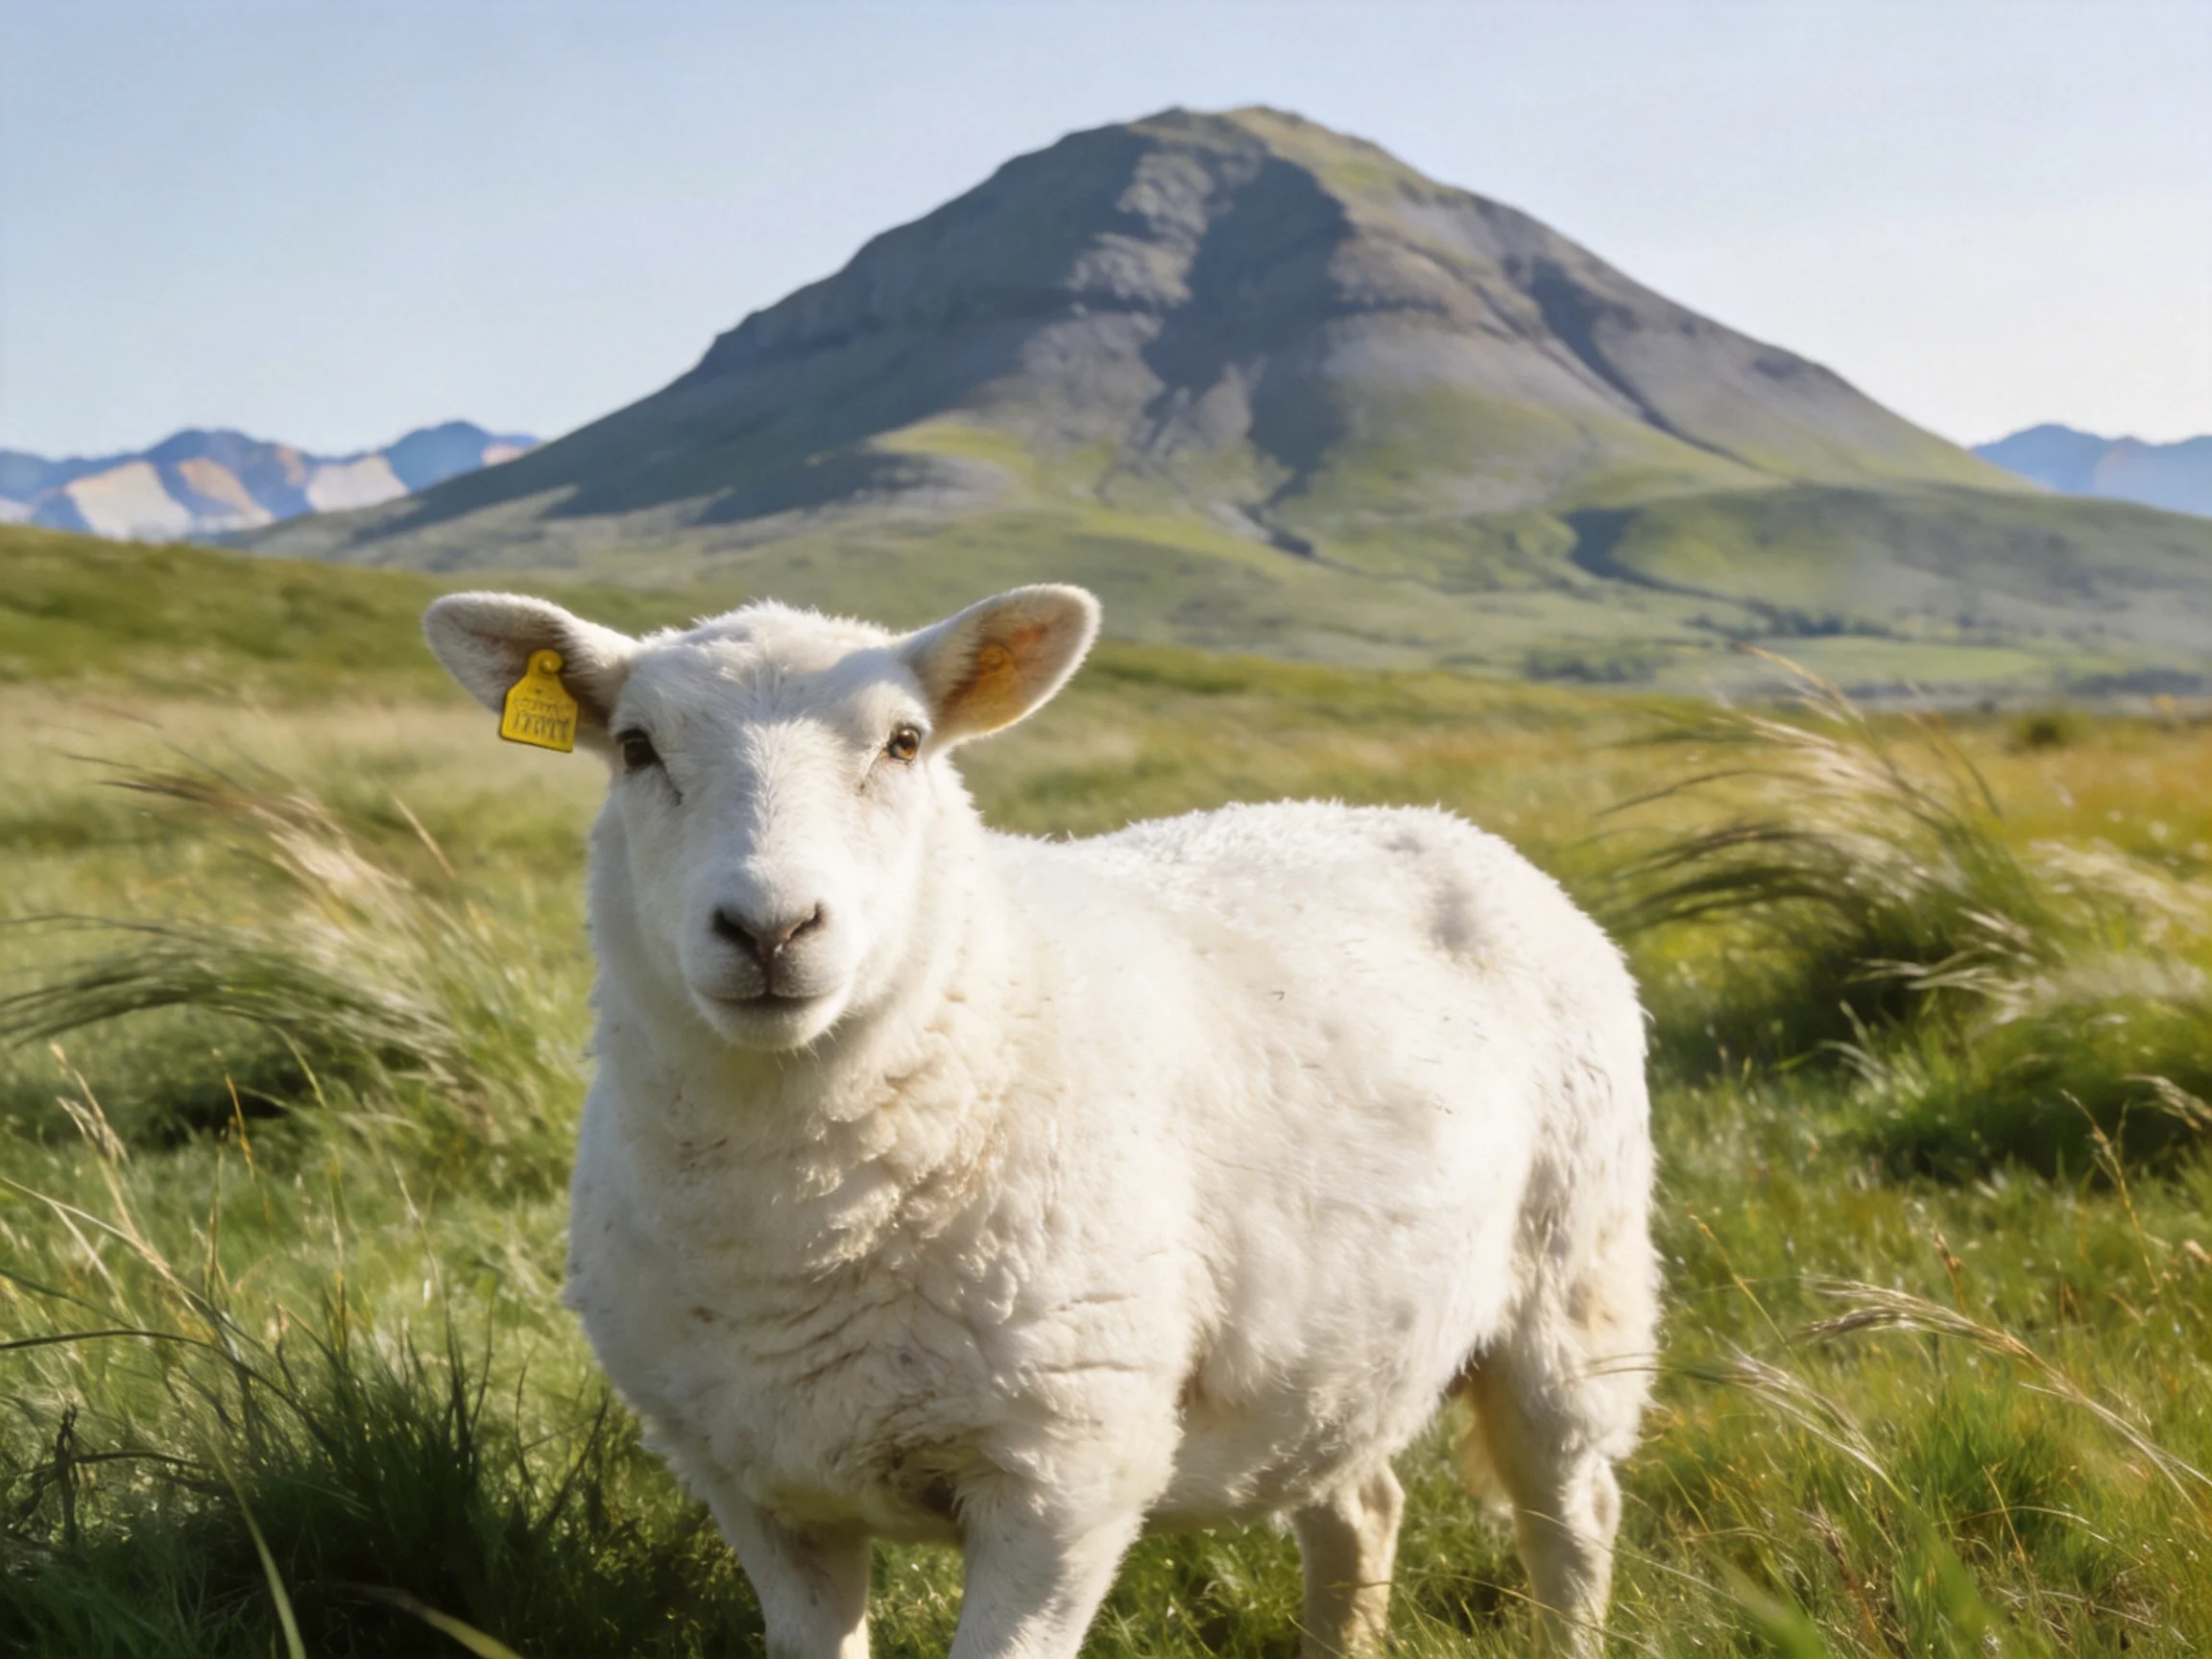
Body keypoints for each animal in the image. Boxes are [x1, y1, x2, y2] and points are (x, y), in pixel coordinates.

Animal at [424, 583, 1657, 1659]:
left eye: (905, 743)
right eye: (636, 747)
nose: (770, 929)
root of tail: (1431, 823)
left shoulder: (1066, 1477)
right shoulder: (759, 1487)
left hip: (1576, 1283)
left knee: (1573, 1515)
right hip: (1334, 1346)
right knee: (1362, 1508)